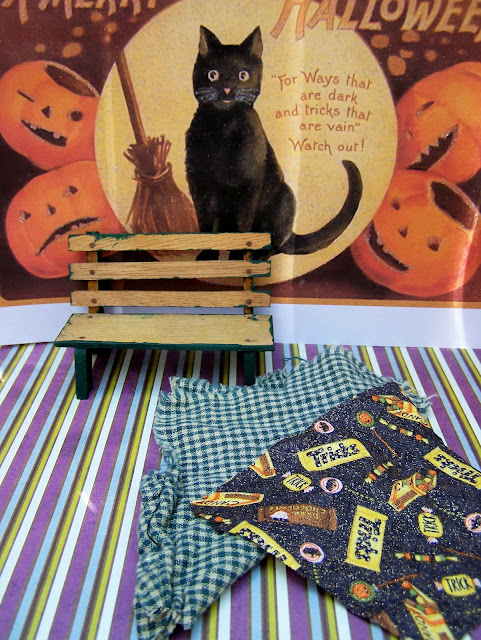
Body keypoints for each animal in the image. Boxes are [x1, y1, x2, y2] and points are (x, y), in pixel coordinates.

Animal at [185, 26, 363, 256]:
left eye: (243, 75)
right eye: (212, 74)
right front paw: (207, 257)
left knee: (275, 242)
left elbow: (242, 229)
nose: (226, 88)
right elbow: (206, 227)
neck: (222, 127)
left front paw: (236, 258)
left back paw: (258, 255)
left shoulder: (248, 187)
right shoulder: (200, 185)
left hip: (284, 198)